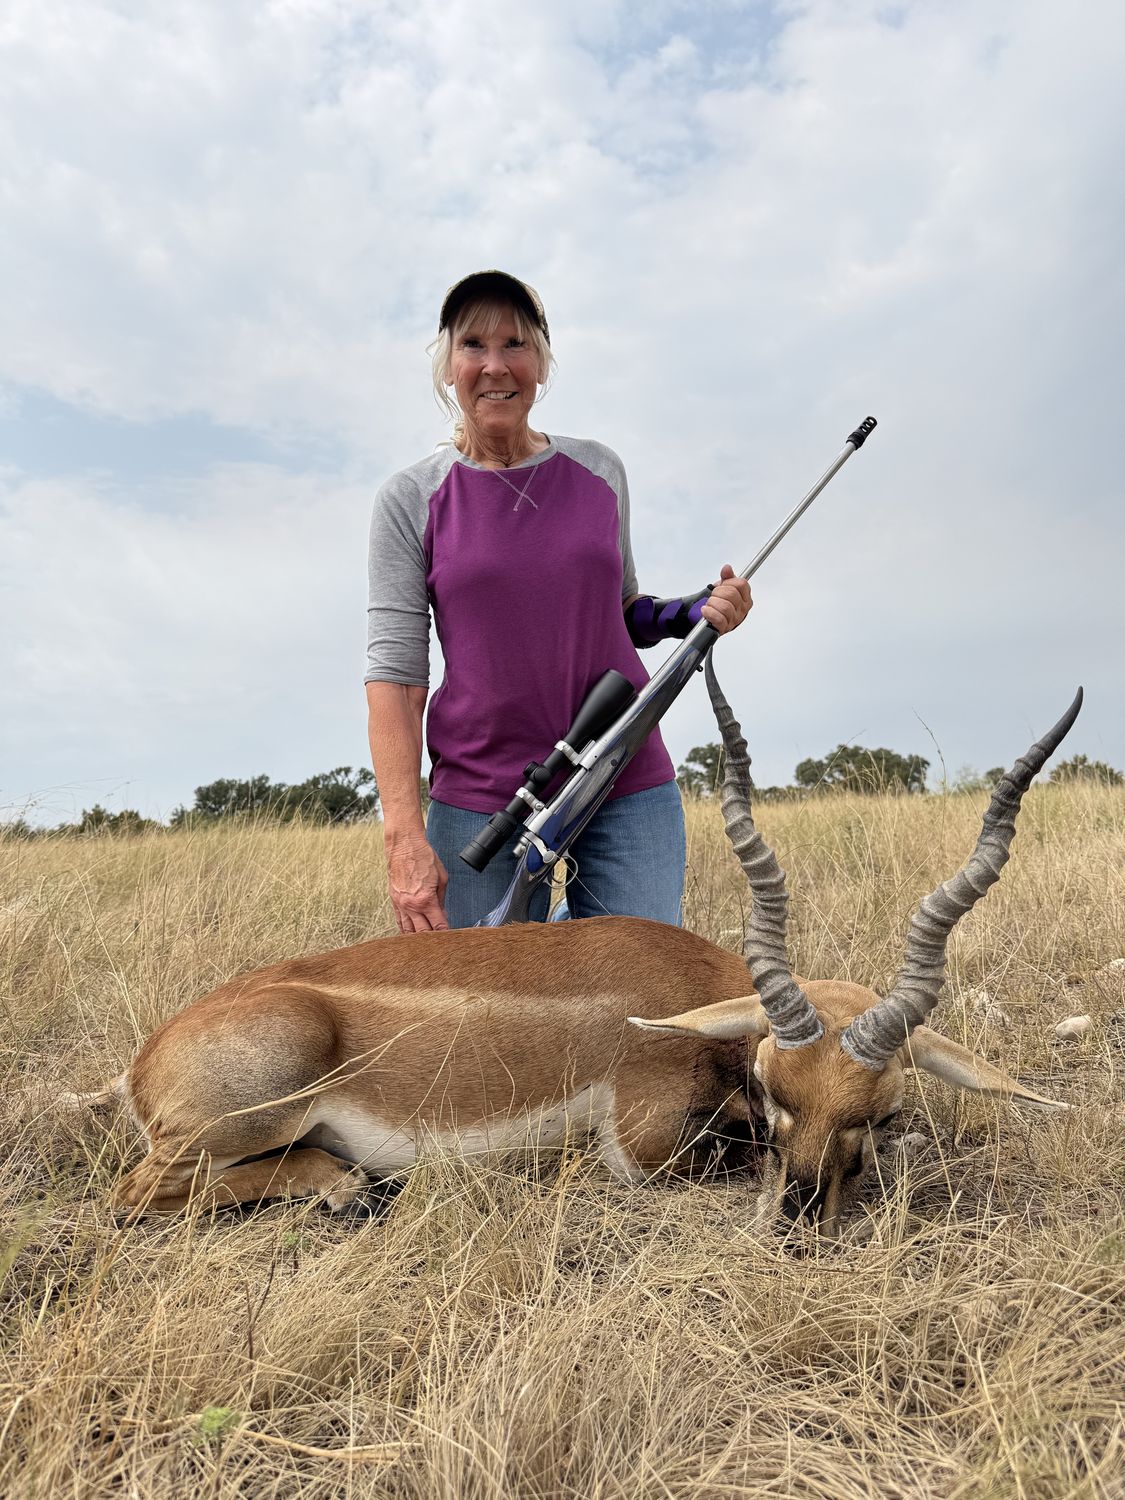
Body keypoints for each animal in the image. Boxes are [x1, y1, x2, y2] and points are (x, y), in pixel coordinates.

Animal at [80, 665, 1080, 1227]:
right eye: (772, 1085)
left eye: (879, 1112)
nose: (798, 1219)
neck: (692, 994)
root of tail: (142, 1063)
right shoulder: (640, 1148)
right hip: (237, 1118)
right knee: (135, 1197)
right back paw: (343, 1190)